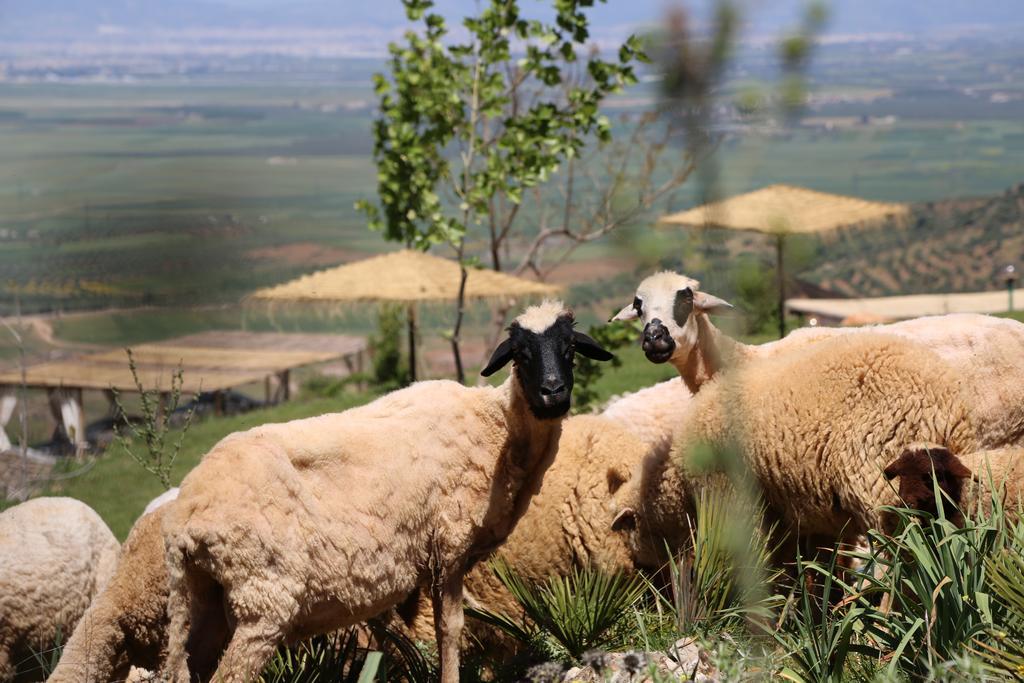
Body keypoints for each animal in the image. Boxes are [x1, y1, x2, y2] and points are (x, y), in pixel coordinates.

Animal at [157, 303, 606, 683]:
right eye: (521, 355)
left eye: (569, 348)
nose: (553, 393)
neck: (497, 427)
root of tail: (185, 517)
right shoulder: (449, 546)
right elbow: (451, 629)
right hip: (263, 598)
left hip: (201, 600)